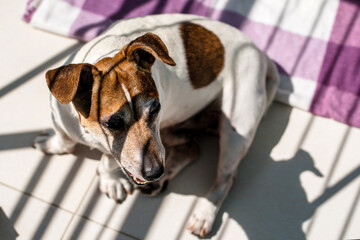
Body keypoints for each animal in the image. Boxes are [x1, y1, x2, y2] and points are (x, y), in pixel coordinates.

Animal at [33, 13, 278, 236]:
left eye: (155, 107)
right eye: (112, 123)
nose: (155, 172)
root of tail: (261, 55)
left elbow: (109, 161)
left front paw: (110, 180)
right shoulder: (60, 116)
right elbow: (64, 138)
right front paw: (53, 144)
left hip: (235, 129)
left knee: (226, 178)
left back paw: (203, 213)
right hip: (170, 131)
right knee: (192, 148)